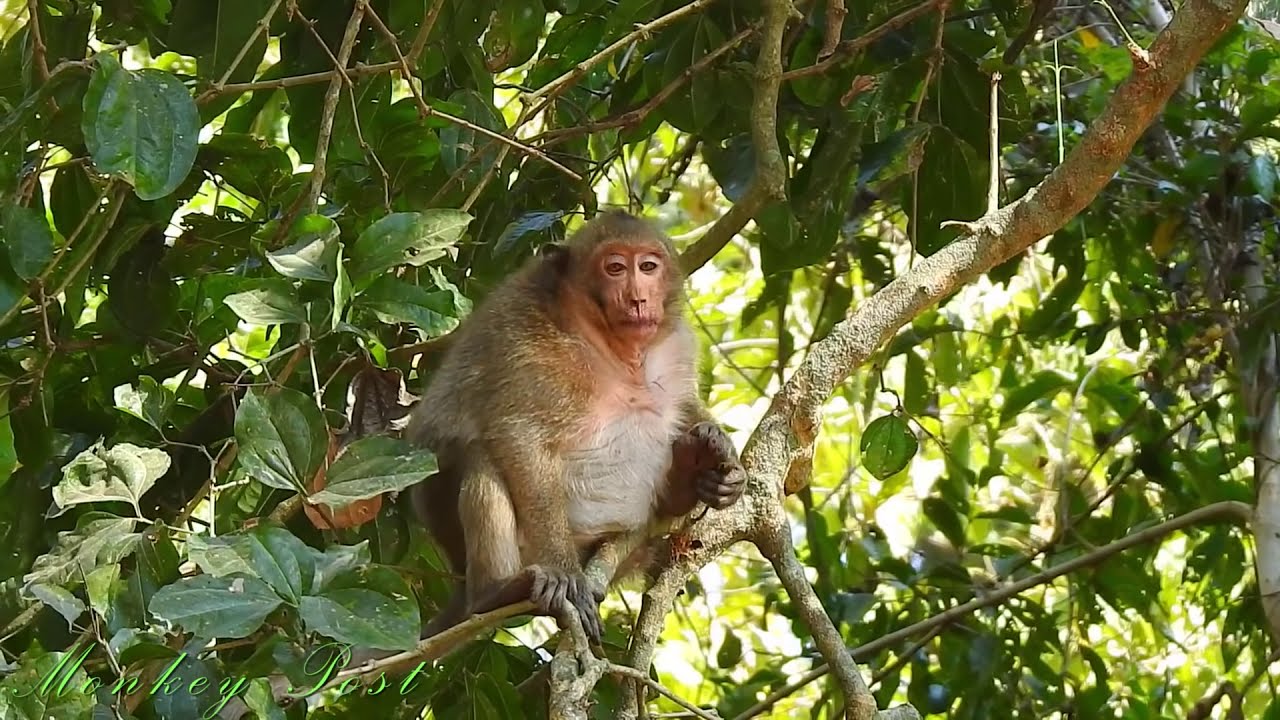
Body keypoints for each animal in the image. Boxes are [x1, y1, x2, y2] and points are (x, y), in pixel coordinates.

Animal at [404, 209, 747, 644]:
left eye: (648, 267)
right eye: (615, 268)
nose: (638, 298)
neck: (616, 350)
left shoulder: (676, 343)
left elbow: (682, 405)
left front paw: (728, 465)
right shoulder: (528, 342)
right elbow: (520, 436)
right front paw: (564, 576)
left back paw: (692, 476)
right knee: (479, 456)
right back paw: (496, 591)